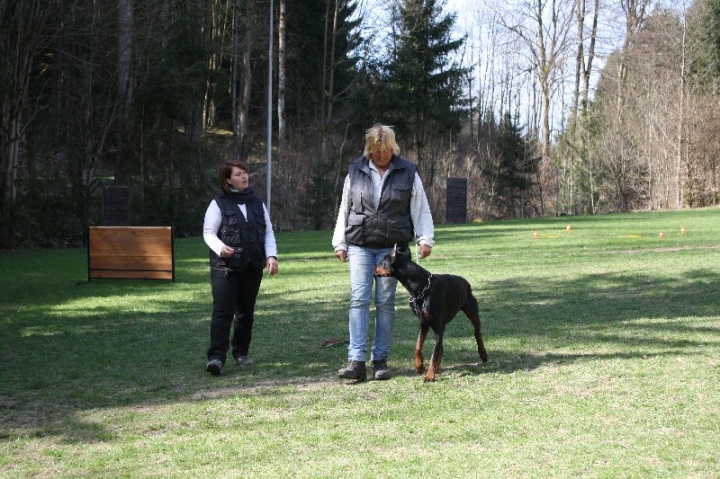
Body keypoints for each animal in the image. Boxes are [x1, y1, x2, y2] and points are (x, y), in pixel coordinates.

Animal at [374, 244, 486, 382]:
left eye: (381, 262)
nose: (373, 268)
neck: (420, 287)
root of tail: (465, 282)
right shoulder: (424, 324)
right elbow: (418, 346)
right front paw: (419, 366)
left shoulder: (438, 327)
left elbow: (434, 354)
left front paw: (429, 376)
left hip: (472, 313)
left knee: (477, 332)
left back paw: (483, 354)